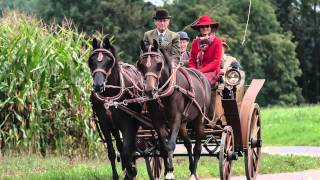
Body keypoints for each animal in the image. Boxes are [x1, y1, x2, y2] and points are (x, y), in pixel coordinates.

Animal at [87, 35, 142, 179]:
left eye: (108, 61)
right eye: (92, 60)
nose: (98, 85)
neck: (109, 95)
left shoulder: (128, 123)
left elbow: (127, 150)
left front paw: (131, 171)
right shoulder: (104, 123)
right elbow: (112, 152)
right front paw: (117, 175)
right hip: (114, 126)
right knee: (119, 144)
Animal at [137, 39, 212, 179]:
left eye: (159, 64)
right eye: (140, 65)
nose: (150, 91)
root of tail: (202, 77)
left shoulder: (175, 118)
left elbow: (171, 145)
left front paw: (170, 172)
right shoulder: (157, 121)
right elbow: (163, 148)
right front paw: (167, 170)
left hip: (199, 118)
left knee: (197, 147)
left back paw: (193, 173)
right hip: (183, 124)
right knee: (188, 143)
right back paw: (191, 167)